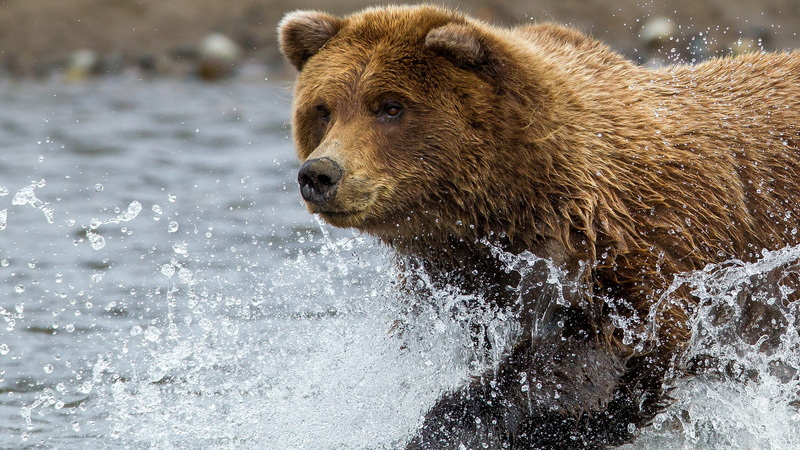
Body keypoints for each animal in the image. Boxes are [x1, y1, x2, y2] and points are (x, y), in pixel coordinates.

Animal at [278, 5, 800, 449]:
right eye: (323, 109)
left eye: (390, 106)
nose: (320, 174)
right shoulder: (456, 281)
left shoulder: (643, 248)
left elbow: (608, 354)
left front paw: (450, 426)